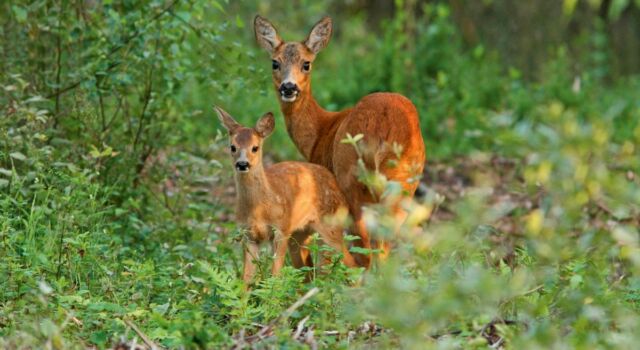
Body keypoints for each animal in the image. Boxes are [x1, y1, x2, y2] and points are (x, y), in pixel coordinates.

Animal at [254, 15, 424, 266]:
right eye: (275, 63)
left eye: (307, 63)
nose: (288, 87)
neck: (321, 132)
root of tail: (385, 128)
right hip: (405, 182)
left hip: (351, 179)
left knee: (364, 253)